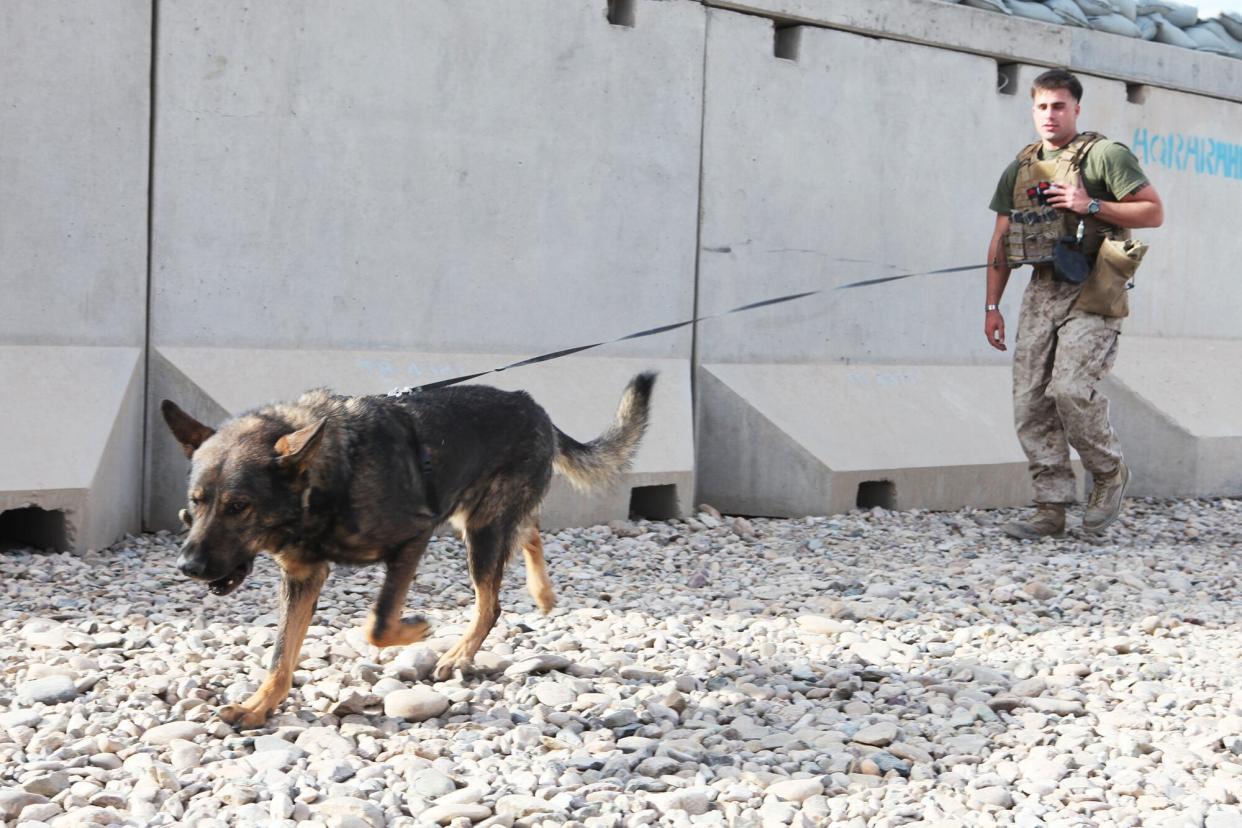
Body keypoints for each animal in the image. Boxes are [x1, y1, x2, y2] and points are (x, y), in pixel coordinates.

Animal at [160, 372, 655, 729]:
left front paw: (416, 630)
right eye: (195, 503)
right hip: (476, 520)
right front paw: (258, 707)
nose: (188, 567)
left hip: (480, 531)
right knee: (528, 530)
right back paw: (542, 593)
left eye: (239, 506)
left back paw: (459, 653)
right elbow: (282, 655)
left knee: (491, 601)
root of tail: (532, 406)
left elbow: (378, 624)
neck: (330, 478)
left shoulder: (411, 540)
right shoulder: (303, 577)